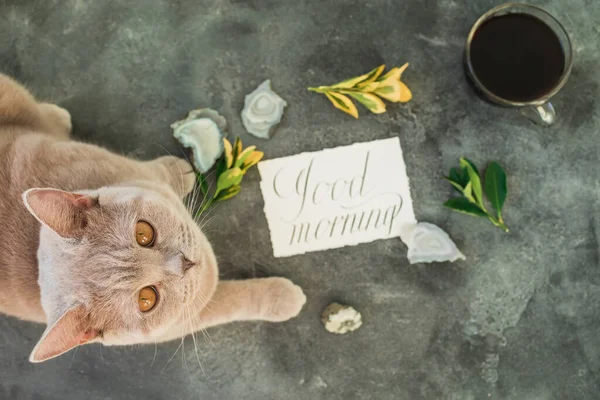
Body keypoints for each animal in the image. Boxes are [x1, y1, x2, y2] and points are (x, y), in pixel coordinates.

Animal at [0, 72, 308, 362]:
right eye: (147, 299)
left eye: (143, 233)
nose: (183, 263)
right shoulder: (189, 316)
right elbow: (233, 300)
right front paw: (284, 297)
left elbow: (158, 171)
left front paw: (179, 170)